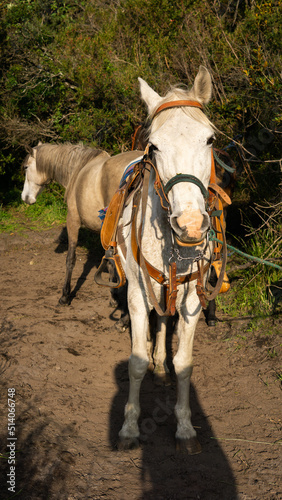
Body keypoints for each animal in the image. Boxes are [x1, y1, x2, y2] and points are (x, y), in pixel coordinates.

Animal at [21, 142, 143, 304]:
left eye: (26, 167)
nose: (25, 197)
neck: (78, 169)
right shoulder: (105, 231)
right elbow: (111, 262)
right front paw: (113, 295)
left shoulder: (72, 220)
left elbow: (70, 259)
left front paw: (65, 296)